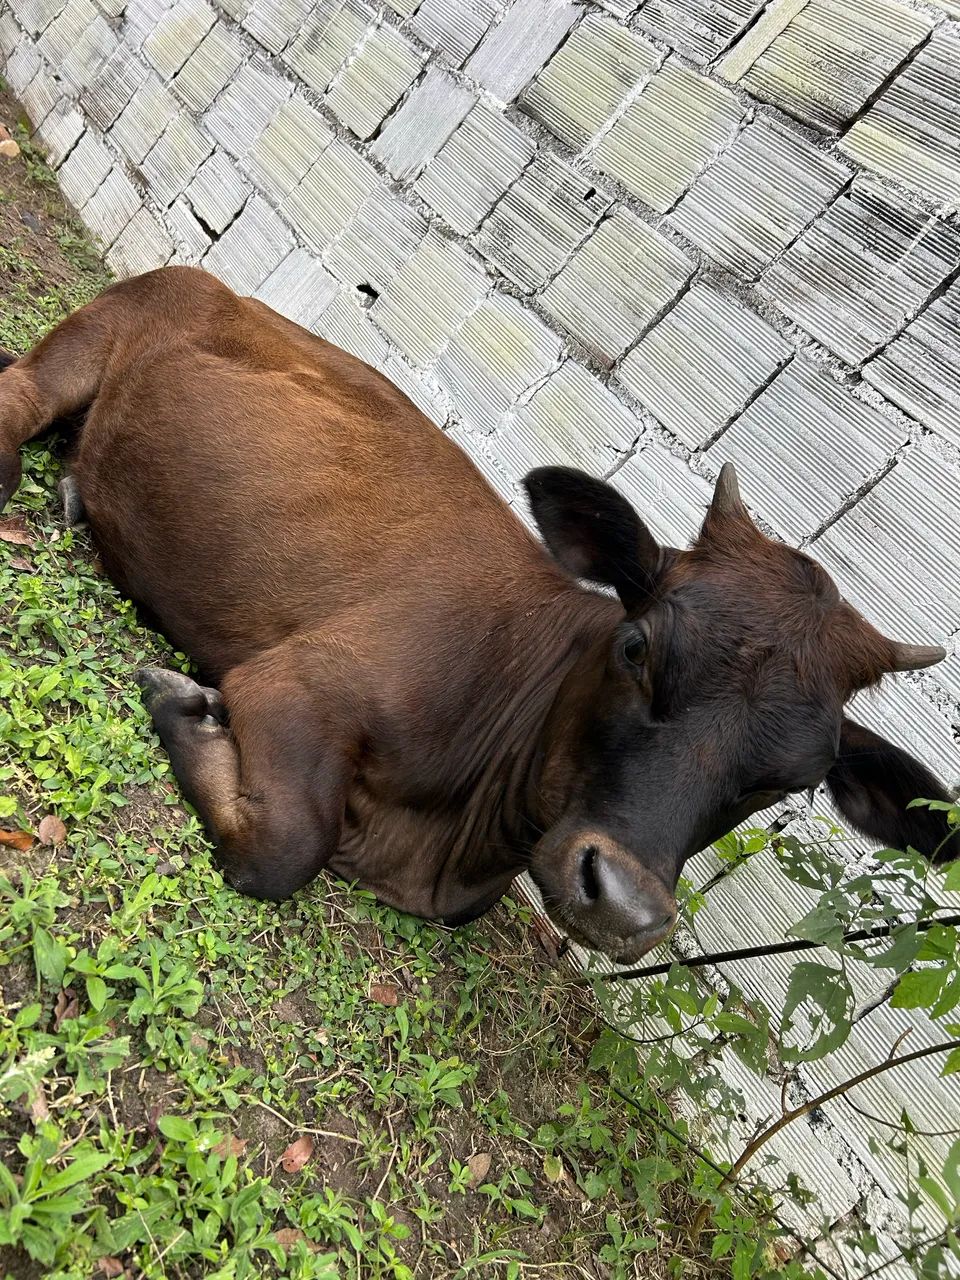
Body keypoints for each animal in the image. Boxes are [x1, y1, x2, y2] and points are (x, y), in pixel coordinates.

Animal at [1, 267, 955, 963]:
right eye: (637, 649)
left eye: (794, 780)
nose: (626, 908)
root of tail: (218, 283)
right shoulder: (297, 683)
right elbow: (284, 846)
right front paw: (184, 708)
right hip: (84, 345)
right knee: (17, 402)